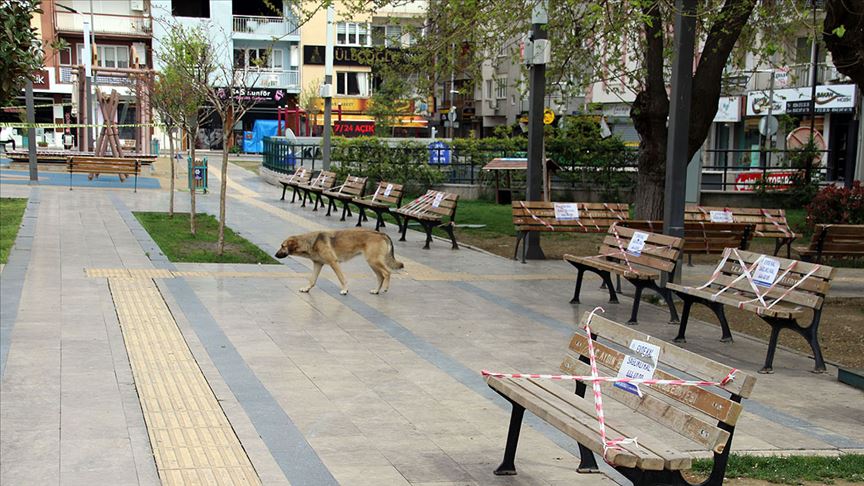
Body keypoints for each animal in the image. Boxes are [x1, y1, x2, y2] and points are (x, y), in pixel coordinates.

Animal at [276, 229, 404, 296]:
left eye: (282, 246)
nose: (275, 255)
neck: (311, 242)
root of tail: (381, 233)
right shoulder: (318, 264)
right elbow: (312, 280)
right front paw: (307, 289)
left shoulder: (334, 263)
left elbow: (341, 278)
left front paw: (345, 289)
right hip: (372, 263)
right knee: (380, 277)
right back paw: (376, 290)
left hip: (374, 261)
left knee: (387, 273)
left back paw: (385, 288)